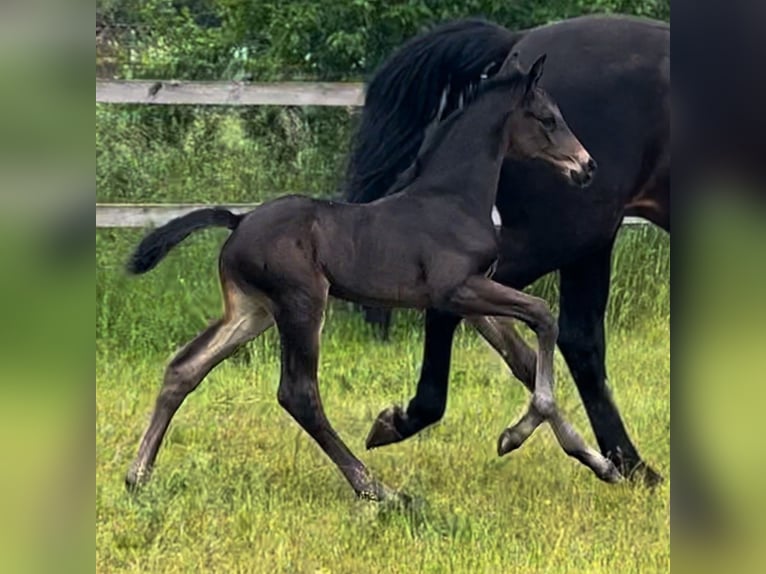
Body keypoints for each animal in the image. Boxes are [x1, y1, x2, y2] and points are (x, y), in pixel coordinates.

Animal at [123, 54, 620, 504]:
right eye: (548, 119)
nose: (587, 166)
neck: (453, 200)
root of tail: (238, 221)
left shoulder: (472, 300)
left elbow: (523, 360)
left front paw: (600, 463)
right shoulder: (456, 291)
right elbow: (543, 316)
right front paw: (515, 436)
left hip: (252, 312)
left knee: (185, 369)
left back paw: (136, 477)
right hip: (302, 304)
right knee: (298, 394)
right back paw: (378, 489)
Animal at [344, 14, 672, 486]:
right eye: (548, 119)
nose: (585, 164)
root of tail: (519, 40)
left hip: (584, 241)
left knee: (569, 336)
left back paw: (615, 461)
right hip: (570, 233)